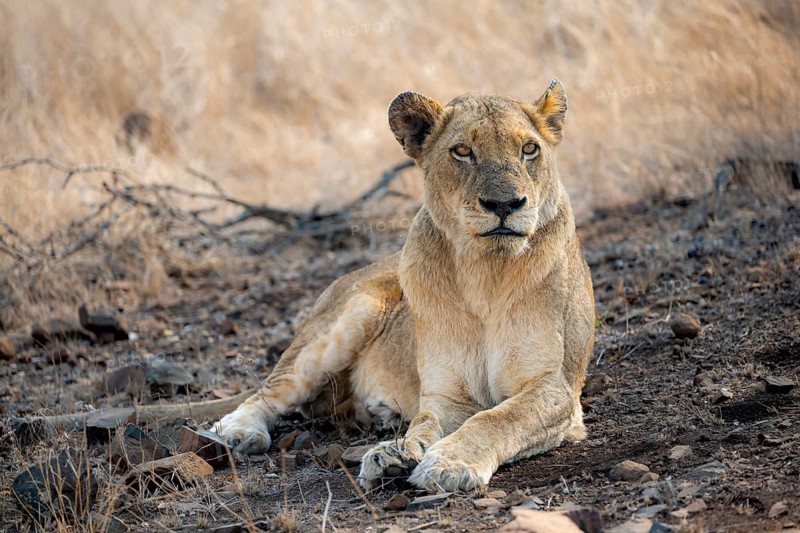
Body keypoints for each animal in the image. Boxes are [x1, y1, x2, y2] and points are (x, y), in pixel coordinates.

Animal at [215, 79, 595, 493]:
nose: (504, 204)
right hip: (348, 318)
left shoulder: (555, 388)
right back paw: (239, 431)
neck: (485, 272)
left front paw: (445, 463)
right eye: (463, 151)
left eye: (529, 149)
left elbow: (496, 419)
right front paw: (398, 454)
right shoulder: (446, 394)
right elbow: (426, 423)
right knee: (269, 391)